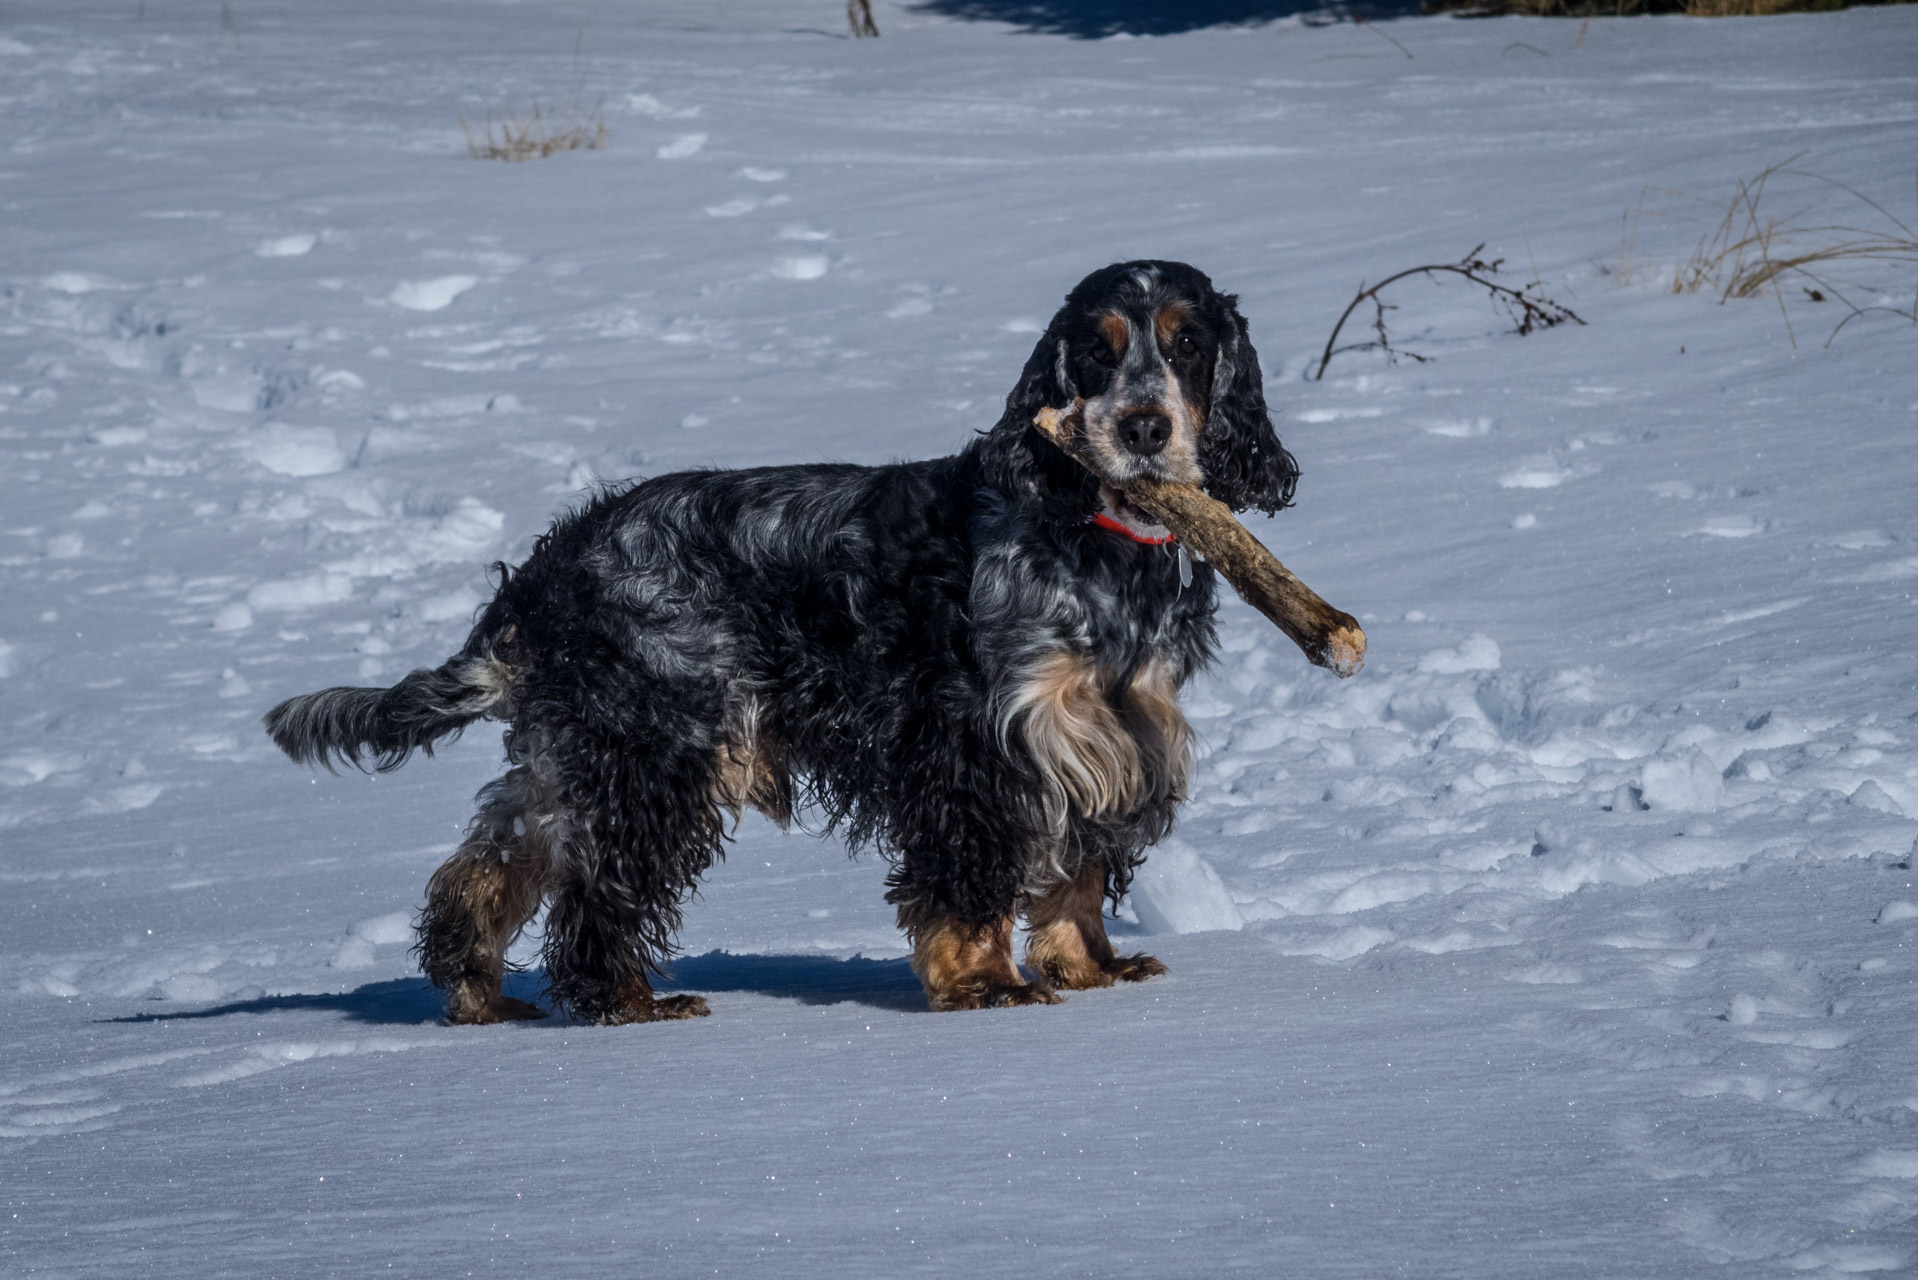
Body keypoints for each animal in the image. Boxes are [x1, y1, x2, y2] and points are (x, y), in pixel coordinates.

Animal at [262, 262, 1296, 1028]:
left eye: (1189, 342)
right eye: (1094, 349)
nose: (1144, 426)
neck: (1095, 539)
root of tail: (555, 561)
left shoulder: (1114, 733)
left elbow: (1079, 871)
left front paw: (1091, 968)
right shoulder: (981, 742)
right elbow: (972, 872)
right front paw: (984, 985)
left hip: (575, 748)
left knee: (489, 865)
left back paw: (480, 995)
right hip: (660, 747)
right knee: (597, 887)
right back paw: (626, 1001)